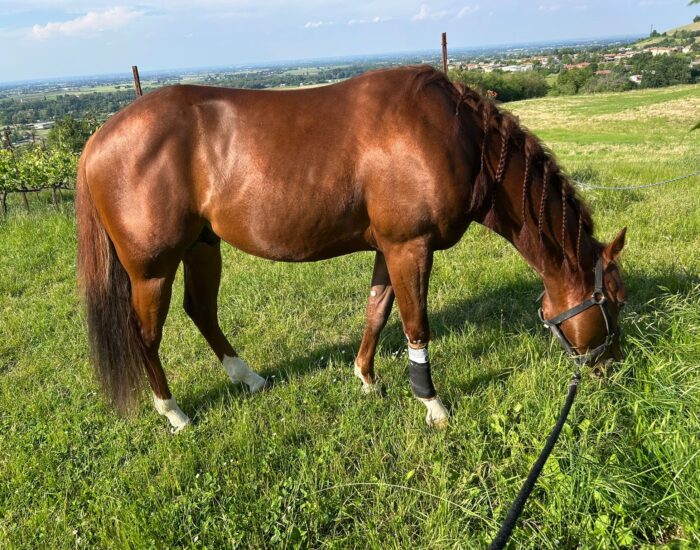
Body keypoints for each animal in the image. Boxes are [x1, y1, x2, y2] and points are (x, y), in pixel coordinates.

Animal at [76, 65, 627, 432]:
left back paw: (247, 377)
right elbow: (415, 323)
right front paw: (432, 403)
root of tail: (96, 140)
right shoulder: (410, 246)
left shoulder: (388, 247)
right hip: (152, 269)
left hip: (202, 245)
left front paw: (366, 378)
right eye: (615, 303)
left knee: (201, 310)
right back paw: (174, 412)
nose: (612, 368)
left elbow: (377, 312)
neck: (455, 136)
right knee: (147, 335)